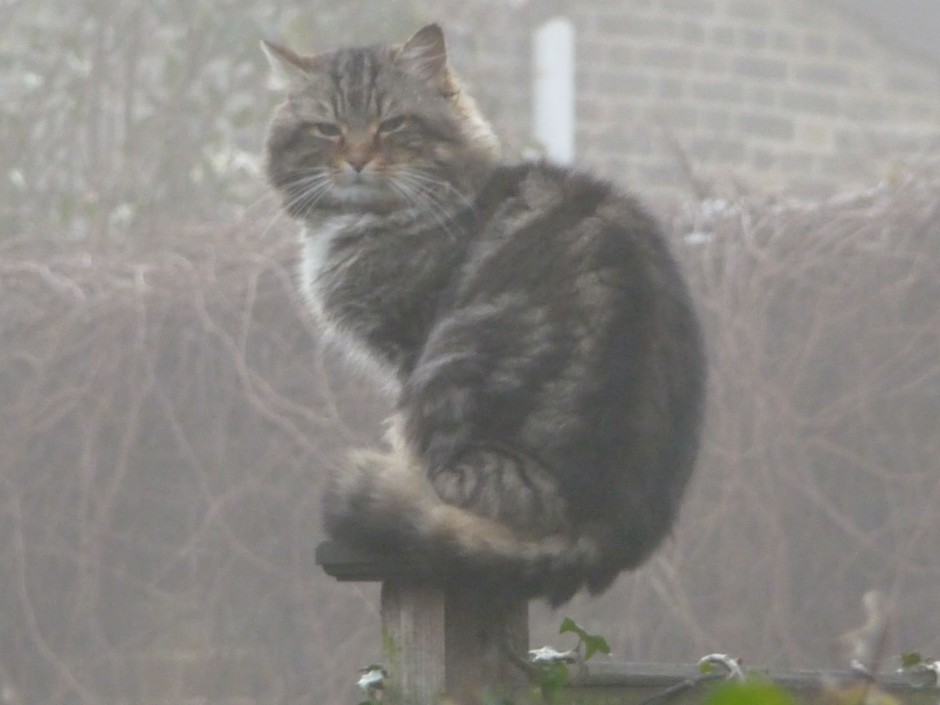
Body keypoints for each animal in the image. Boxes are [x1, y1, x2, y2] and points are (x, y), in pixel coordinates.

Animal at [264, 23, 704, 604]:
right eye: (327, 129)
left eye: (393, 123)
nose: (357, 159)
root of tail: (606, 534)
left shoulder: (409, 350)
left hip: (450, 368)